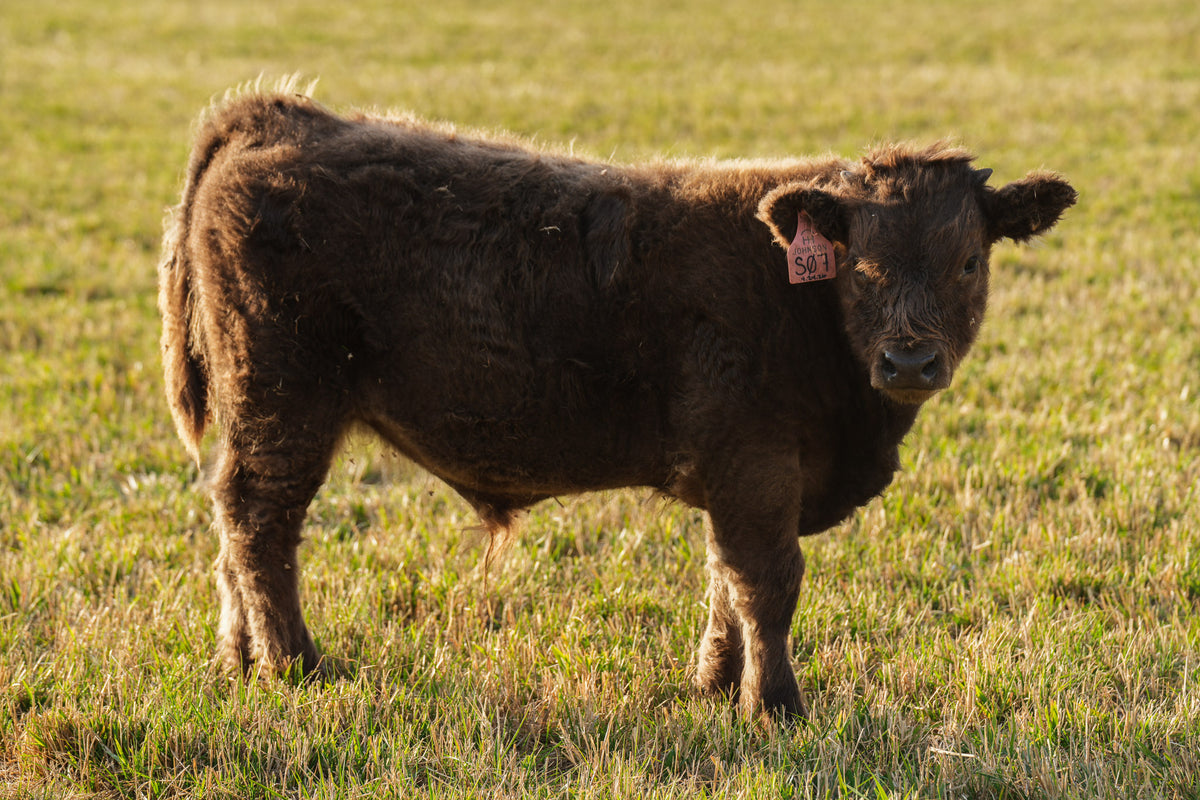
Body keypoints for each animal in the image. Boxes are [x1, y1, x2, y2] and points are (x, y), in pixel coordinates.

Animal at [159, 87, 1076, 719]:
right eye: (861, 265)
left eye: (969, 261)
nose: (909, 359)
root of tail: (285, 117)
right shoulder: (757, 466)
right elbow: (768, 583)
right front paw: (775, 704)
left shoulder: (738, 474)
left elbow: (724, 581)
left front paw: (716, 685)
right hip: (284, 407)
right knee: (261, 526)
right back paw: (294, 664)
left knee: (232, 529)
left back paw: (239, 660)